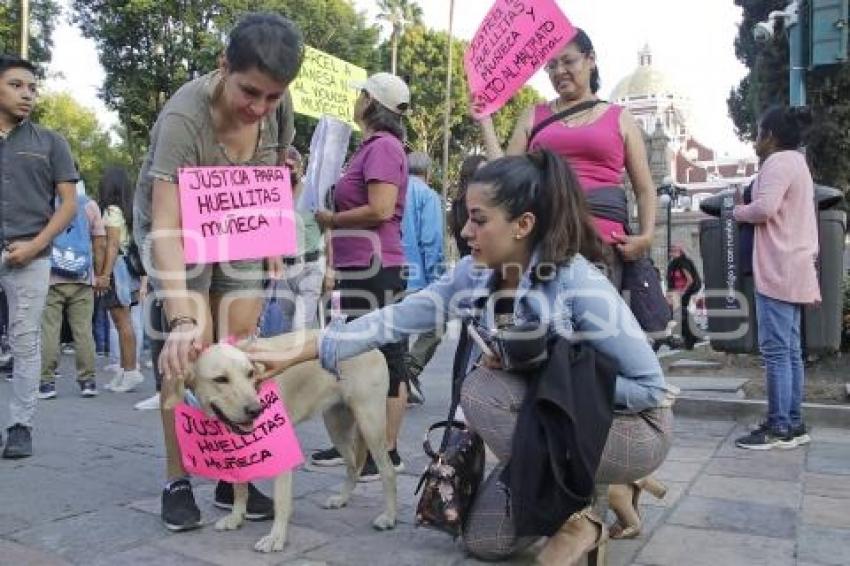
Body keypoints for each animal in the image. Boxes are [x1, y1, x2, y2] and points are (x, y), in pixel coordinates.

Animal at [184, 330, 396, 552]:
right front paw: (236, 517)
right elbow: (240, 488)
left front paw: (276, 538)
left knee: (387, 470)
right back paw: (342, 499)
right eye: (220, 379)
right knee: (353, 466)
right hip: (336, 427)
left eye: (250, 374)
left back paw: (389, 517)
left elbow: (281, 501)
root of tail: (372, 346)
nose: (255, 410)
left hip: (370, 425)